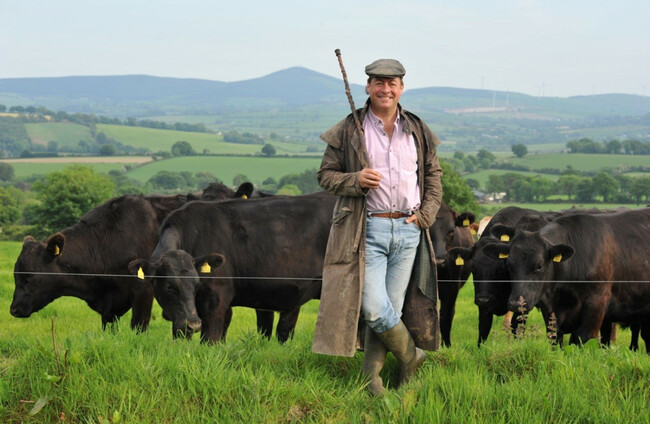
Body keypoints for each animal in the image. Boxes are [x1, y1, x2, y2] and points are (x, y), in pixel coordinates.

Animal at [10, 183, 255, 331]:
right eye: (15, 275)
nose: (13, 310)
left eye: (29, 277)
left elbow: (139, 327)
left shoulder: (143, 292)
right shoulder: (109, 307)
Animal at [130, 192, 337, 342]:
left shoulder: (216, 298)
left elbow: (210, 339)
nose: (194, 325)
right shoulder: (186, 313)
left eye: (196, 284)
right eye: (169, 286)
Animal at [483, 208, 650, 347]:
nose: (515, 303)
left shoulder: (596, 304)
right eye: (509, 265)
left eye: (539, 266)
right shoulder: (550, 311)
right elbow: (556, 340)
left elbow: (579, 340)